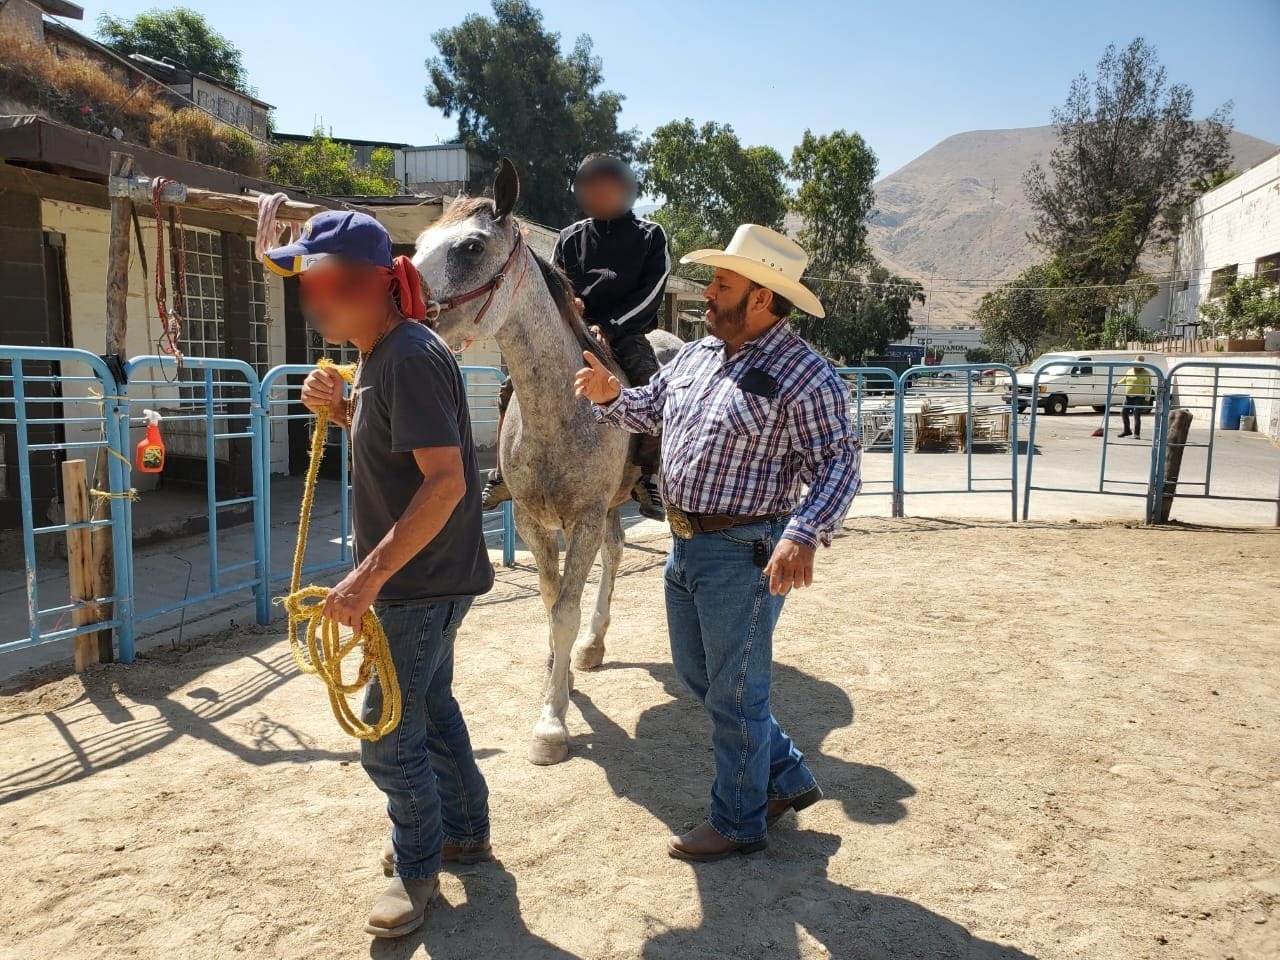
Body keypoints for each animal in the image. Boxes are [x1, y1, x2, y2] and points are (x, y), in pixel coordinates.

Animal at [417, 163, 680, 768]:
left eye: (471, 246)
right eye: (418, 243)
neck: (564, 407)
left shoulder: (581, 518)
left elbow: (565, 609)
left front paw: (552, 724)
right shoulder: (535, 521)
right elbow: (548, 597)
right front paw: (559, 680)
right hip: (609, 506)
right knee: (616, 552)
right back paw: (591, 648)